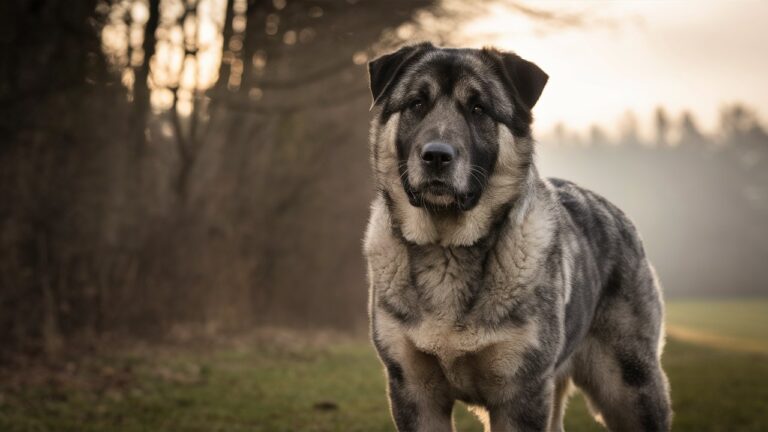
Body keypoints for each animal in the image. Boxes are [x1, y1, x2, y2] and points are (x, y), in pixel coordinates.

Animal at [364, 41, 668, 432]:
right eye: (417, 103)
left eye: (478, 108)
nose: (436, 156)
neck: (447, 248)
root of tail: (619, 214)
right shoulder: (415, 392)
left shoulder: (520, 394)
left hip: (630, 388)